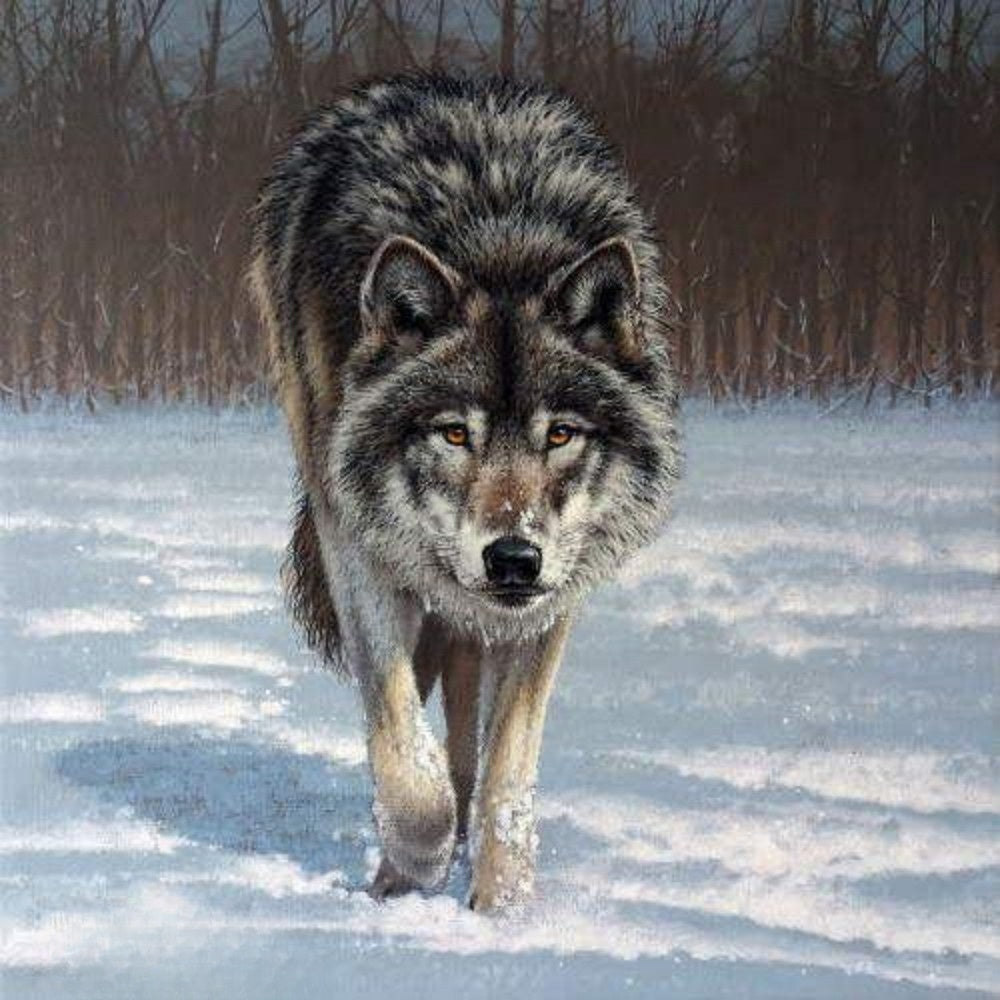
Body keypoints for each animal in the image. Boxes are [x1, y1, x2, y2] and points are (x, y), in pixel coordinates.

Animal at [249, 73, 679, 910]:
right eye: (454, 434)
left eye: (559, 435)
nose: (512, 558)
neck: (498, 243)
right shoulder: (361, 552)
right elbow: (405, 757)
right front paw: (411, 870)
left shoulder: (549, 602)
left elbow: (506, 779)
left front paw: (503, 910)